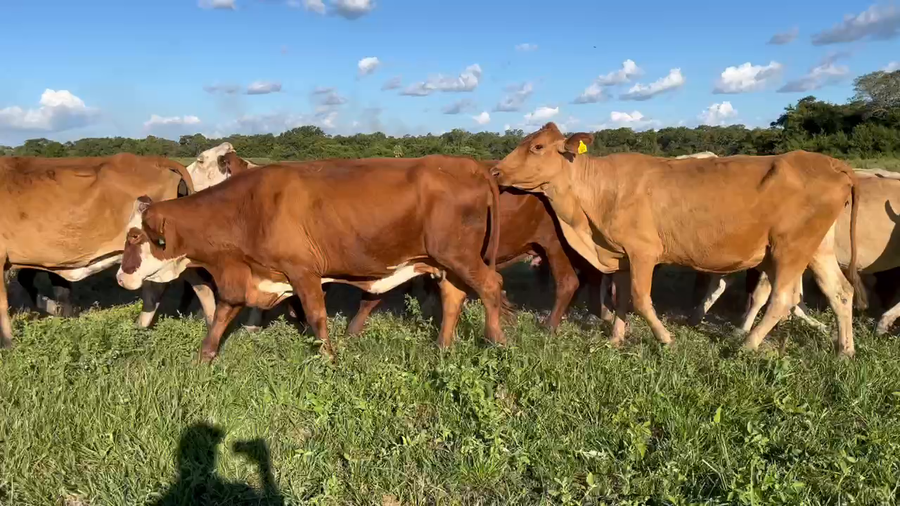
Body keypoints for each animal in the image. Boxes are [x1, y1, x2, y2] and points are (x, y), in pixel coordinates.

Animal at [114, 155, 510, 363]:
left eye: (135, 236)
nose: (120, 277)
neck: (246, 208)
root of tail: (465, 164)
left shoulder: (302, 271)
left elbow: (317, 317)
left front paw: (329, 360)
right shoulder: (242, 276)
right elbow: (222, 316)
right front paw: (204, 359)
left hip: (459, 256)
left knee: (492, 285)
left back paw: (496, 341)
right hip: (446, 263)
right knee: (454, 297)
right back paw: (442, 347)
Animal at [491, 122, 865, 356]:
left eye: (537, 146)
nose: (495, 170)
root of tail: (830, 162)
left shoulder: (643, 251)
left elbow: (641, 300)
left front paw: (665, 338)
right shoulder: (621, 255)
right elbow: (622, 300)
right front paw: (616, 338)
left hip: (789, 248)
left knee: (783, 298)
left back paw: (748, 344)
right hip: (817, 249)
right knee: (840, 292)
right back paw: (844, 350)